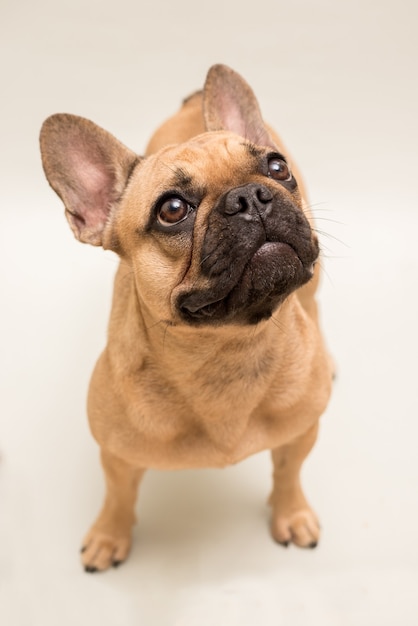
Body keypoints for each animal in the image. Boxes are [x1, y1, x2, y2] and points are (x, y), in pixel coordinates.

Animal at [40, 64, 334, 572]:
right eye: (172, 209)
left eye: (276, 168)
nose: (250, 197)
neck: (227, 348)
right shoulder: (115, 455)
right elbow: (118, 497)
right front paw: (108, 536)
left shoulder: (301, 432)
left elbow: (288, 474)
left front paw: (291, 514)